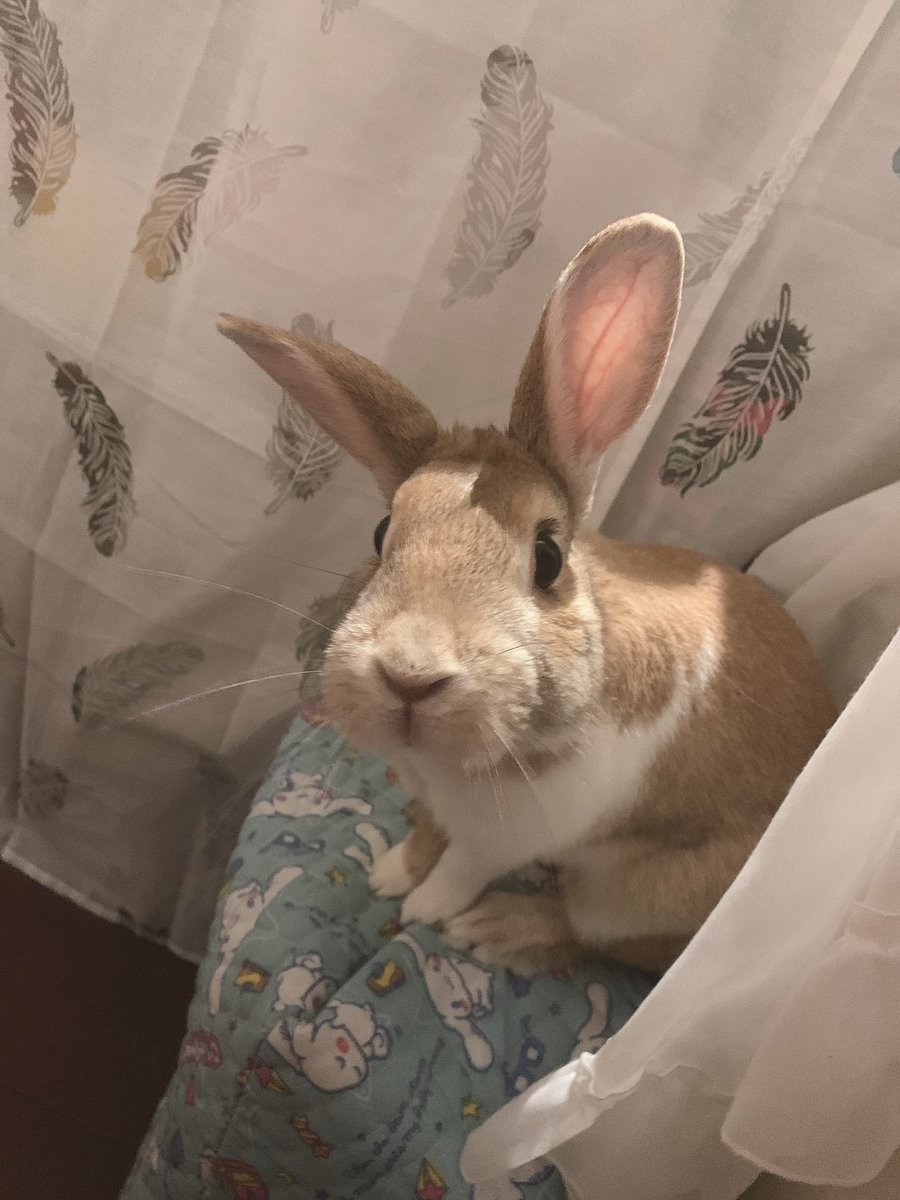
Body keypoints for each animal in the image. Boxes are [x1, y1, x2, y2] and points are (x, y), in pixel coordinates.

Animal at [218, 214, 837, 976]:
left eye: (547, 557)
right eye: (381, 531)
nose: (410, 676)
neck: (452, 765)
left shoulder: (506, 836)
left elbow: (462, 870)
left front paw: (424, 907)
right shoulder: (435, 803)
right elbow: (429, 838)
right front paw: (392, 871)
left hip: (636, 897)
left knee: (596, 936)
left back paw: (498, 929)